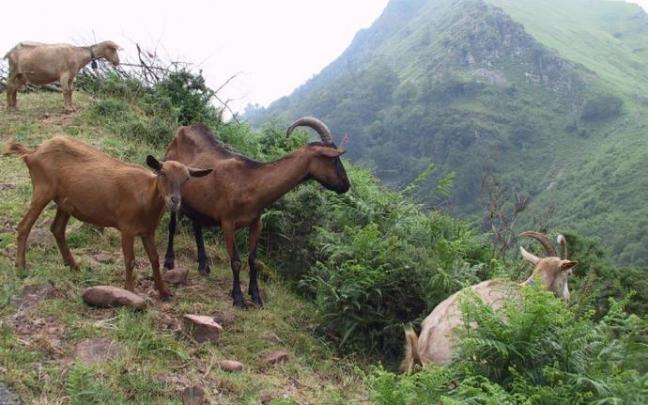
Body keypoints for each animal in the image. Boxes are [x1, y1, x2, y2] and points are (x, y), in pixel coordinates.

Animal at [4, 136, 212, 299]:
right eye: (162, 173)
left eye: (186, 179)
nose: (174, 201)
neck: (145, 197)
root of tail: (33, 152)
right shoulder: (127, 228)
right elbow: (130, 260)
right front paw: (130, 291)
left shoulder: (148, 231)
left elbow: (154, 259)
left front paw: (164, 292)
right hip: (42, 190)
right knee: (24, 226)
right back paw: (21, 266)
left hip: (64, 202)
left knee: (57, 229)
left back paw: (73, 266)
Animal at [163, 117, 351, 308]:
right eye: (333, 159)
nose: (346, 185)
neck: (251, 182)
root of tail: (181, 131)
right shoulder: (227, 222)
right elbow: (236, 261)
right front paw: (238, 298)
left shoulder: (256, 222)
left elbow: (253, 260)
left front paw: (256, 296)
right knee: (172, 225)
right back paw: (169, 261)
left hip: (198, 203)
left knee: (197, 226)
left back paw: (203, 266)